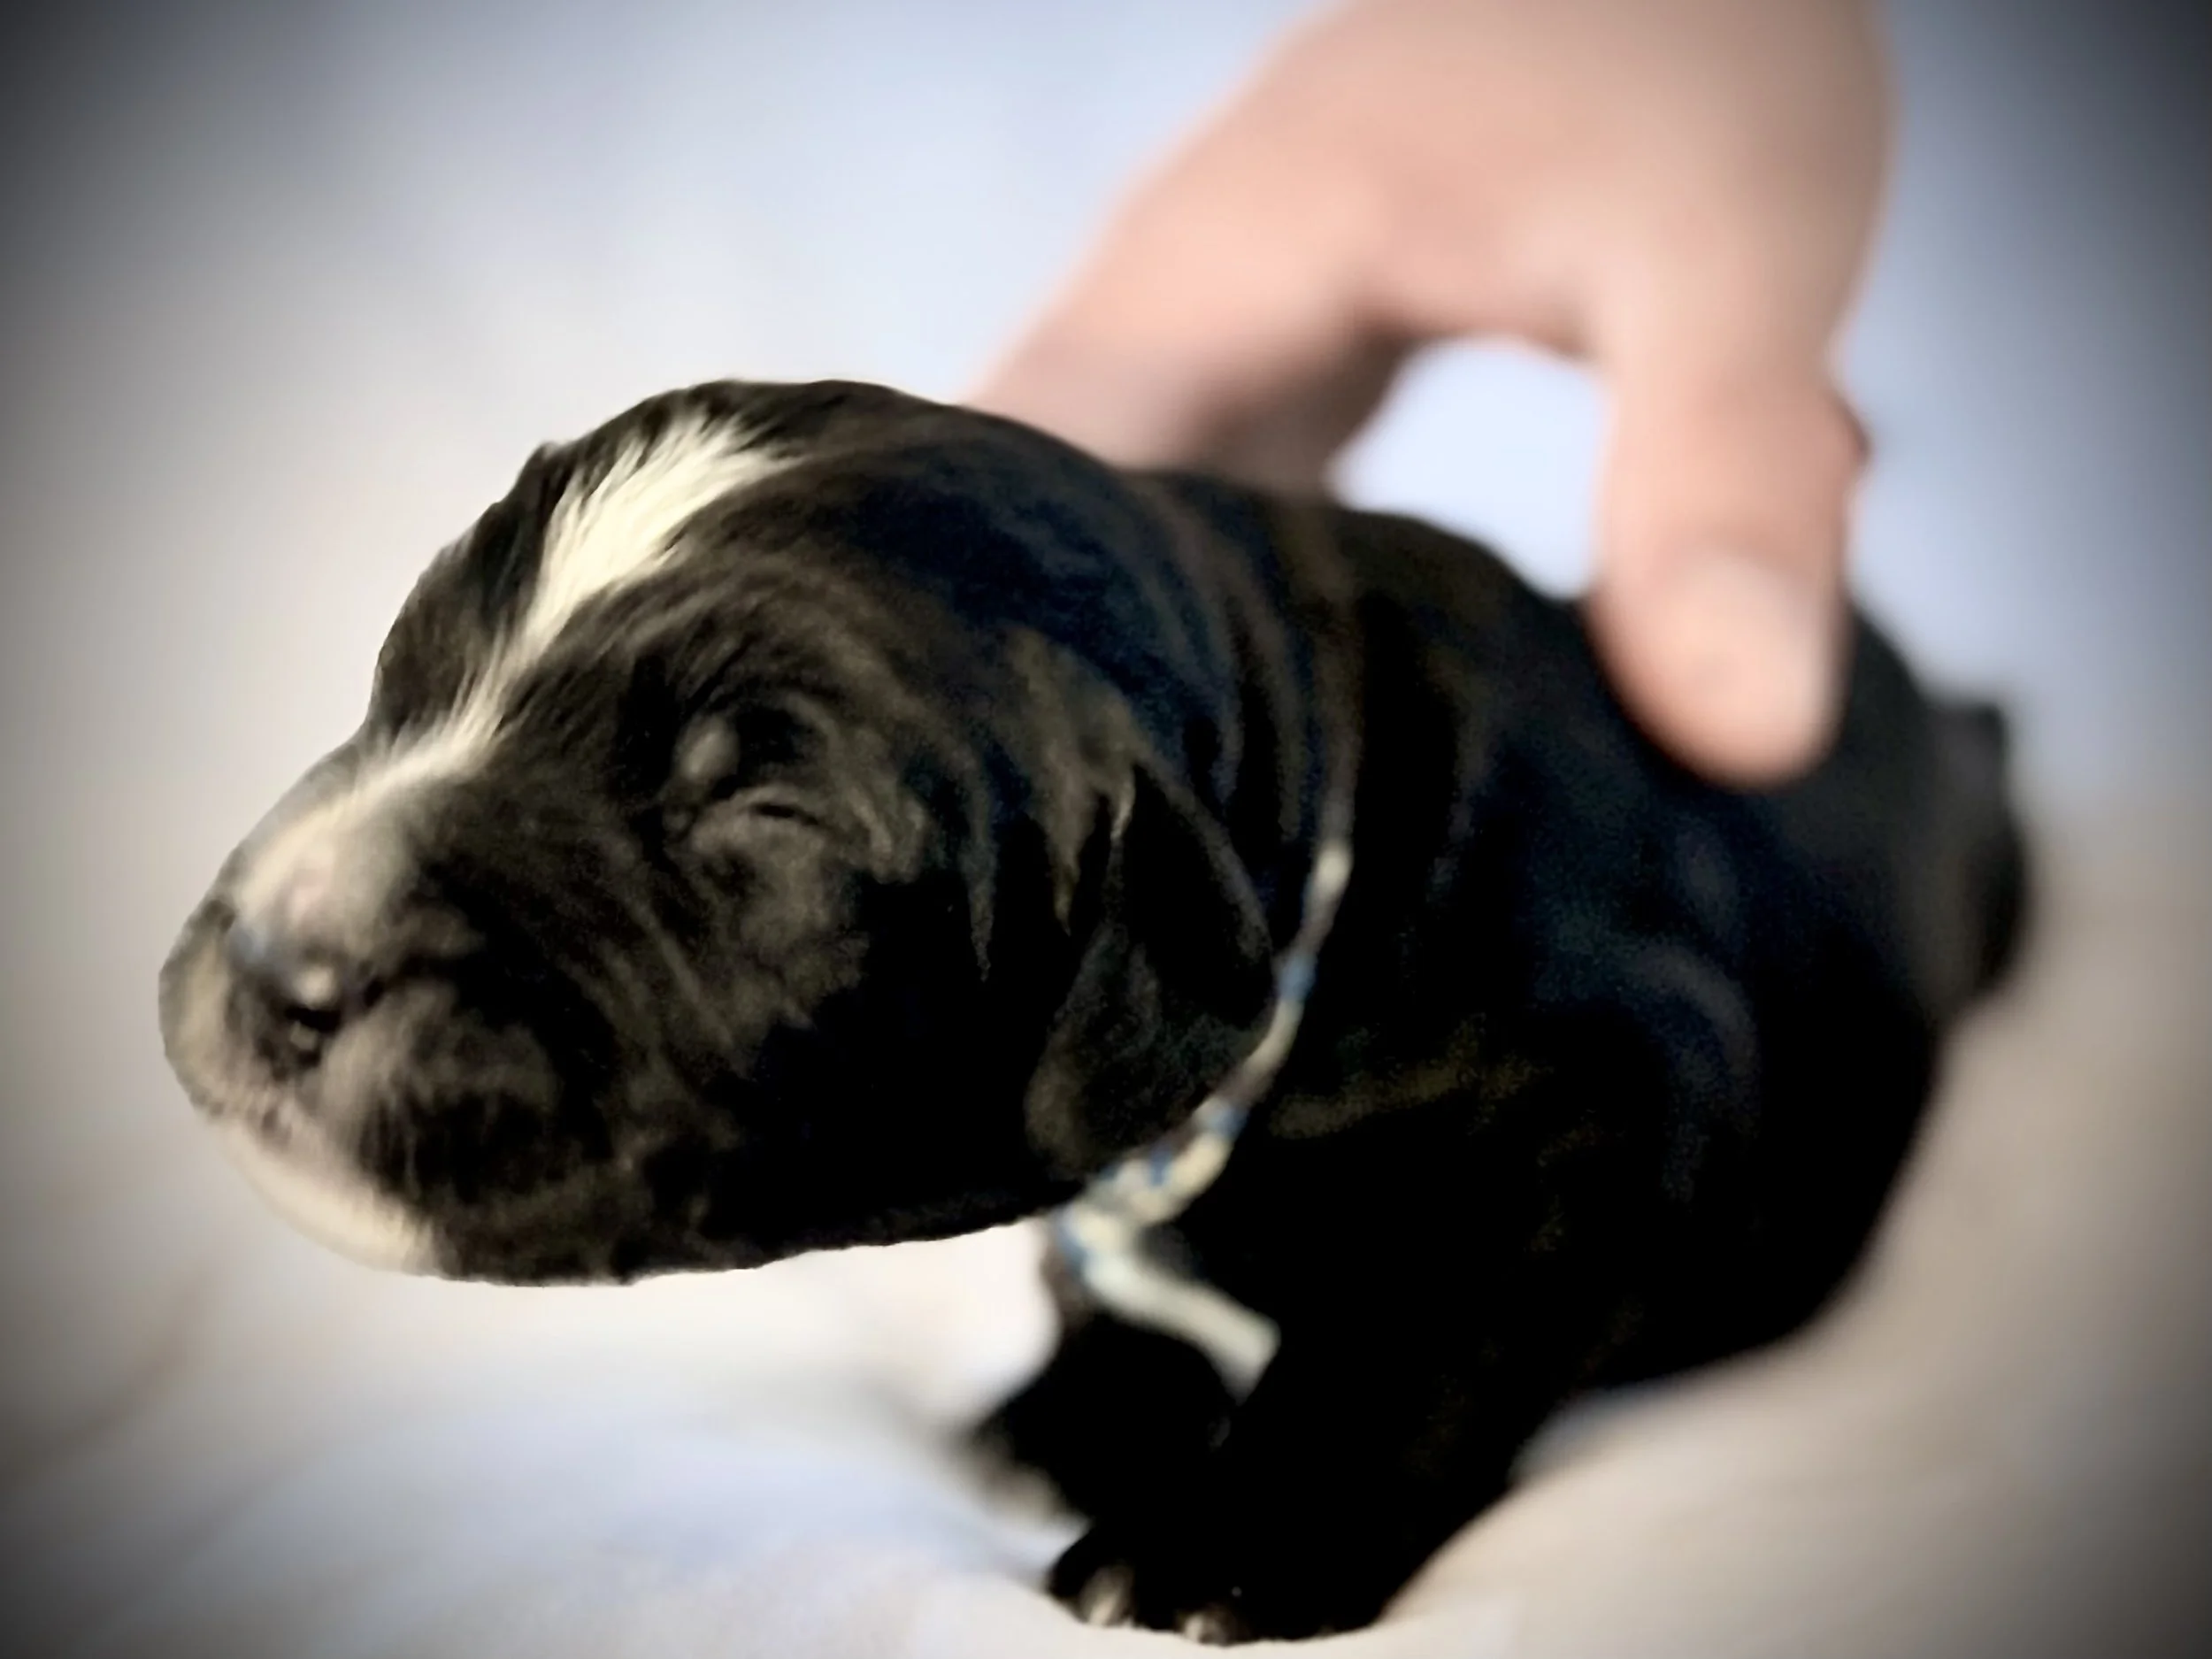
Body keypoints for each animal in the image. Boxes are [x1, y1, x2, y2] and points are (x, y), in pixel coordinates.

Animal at [160, 378, 2025, 1642]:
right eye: (407, 671)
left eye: (760, 806)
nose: (267, 963)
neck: (1321, 820)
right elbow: (1091, 1277)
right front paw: (1078, 1415)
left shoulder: (1621, 1092)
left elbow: (1412, 1333)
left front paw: (1222, 1542)